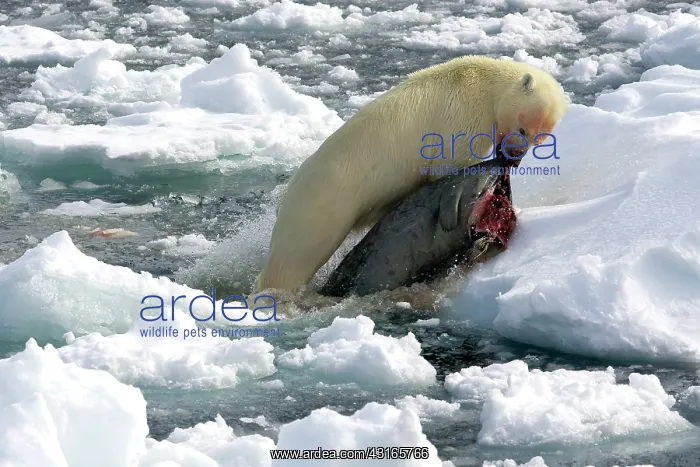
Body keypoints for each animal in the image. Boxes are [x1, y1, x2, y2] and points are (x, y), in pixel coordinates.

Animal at [254, 55, 570, 293]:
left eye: (539, 139)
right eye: (522, 129)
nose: (513, 158)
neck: (481, 83)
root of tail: (288, 195)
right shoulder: (460, 120)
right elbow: (449, 167)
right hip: (320, 208)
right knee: (294, 259)